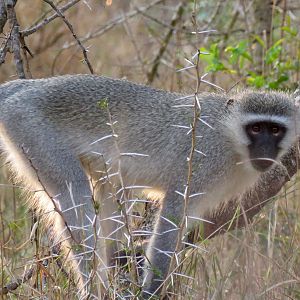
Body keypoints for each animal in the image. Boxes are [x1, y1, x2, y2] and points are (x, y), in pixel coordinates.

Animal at [0, 75, 298, 298]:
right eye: (256, 128)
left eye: (275, 130)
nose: (265, 150)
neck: (230, 137)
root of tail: (24, 87)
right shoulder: (200, 165)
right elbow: (170, 223)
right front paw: (151, 291)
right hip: (31, 129)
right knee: (75, 192)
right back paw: (95, 289)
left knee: (110, 194)